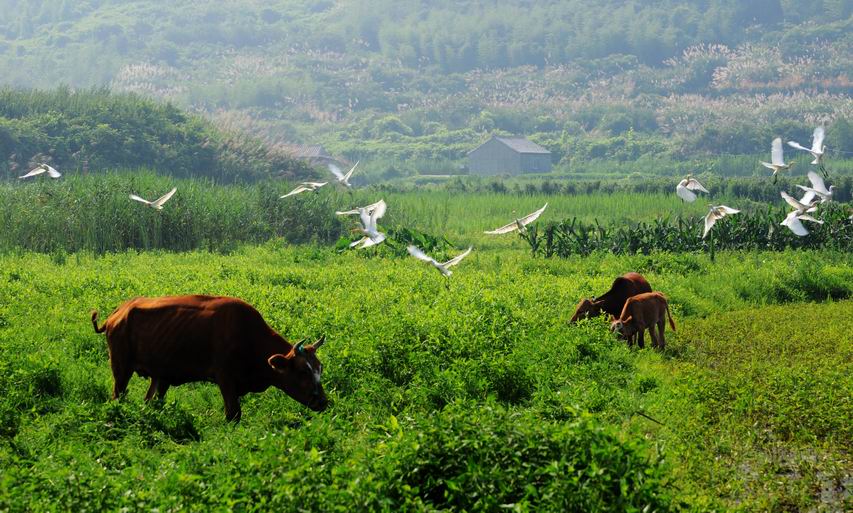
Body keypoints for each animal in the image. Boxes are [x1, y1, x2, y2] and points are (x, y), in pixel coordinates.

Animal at [91, 294, 328, 418]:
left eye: (320, 368)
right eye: (302, 371)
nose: (323, 401)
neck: (248, 335)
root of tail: (118, 312)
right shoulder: (225, 378)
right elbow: (233, 414)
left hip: (158, 375)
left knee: (150, 400)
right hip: (121, 368)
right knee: (118, 396)